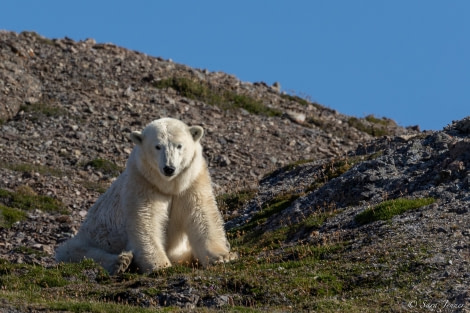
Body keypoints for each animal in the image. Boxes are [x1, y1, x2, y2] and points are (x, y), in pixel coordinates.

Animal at [55, 117, 237, 272]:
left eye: (179, 145)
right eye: (157, 146)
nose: (169, 168)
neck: (169, 185)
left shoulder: (192, 182)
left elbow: (201, 215)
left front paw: (222, 256)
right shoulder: (143, 182)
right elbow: (146, 221)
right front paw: (161, 265)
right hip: (91, 236)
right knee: (74, 251)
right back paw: (121, 262)